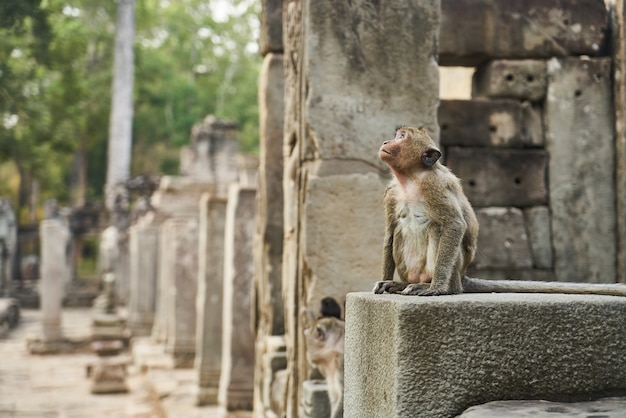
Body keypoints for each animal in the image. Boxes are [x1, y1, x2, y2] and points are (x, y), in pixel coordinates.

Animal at [372, 126, 626, 298]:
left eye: (401, 137)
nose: (385, 141)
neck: (412, 178)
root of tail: (462, 277)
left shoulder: (436, 186)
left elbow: (454, 225)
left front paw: (436, 289)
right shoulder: (392, 192)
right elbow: (390, 231)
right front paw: (386, 280)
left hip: (453, 269)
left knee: (438, 229)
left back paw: (436, 285)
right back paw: (400, 284)